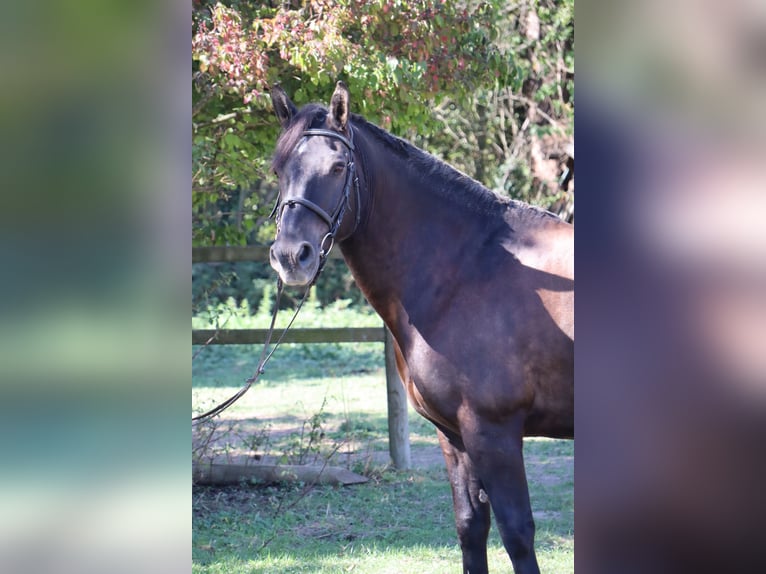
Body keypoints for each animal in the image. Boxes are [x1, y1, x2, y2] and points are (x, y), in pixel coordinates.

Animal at [268, 82, 573, 574]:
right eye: (279, 169)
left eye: (338, 166)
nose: (291, 256)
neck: (464, 271)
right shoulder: (455, 436)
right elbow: (471, 528)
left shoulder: (494, 434)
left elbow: (518, 534)